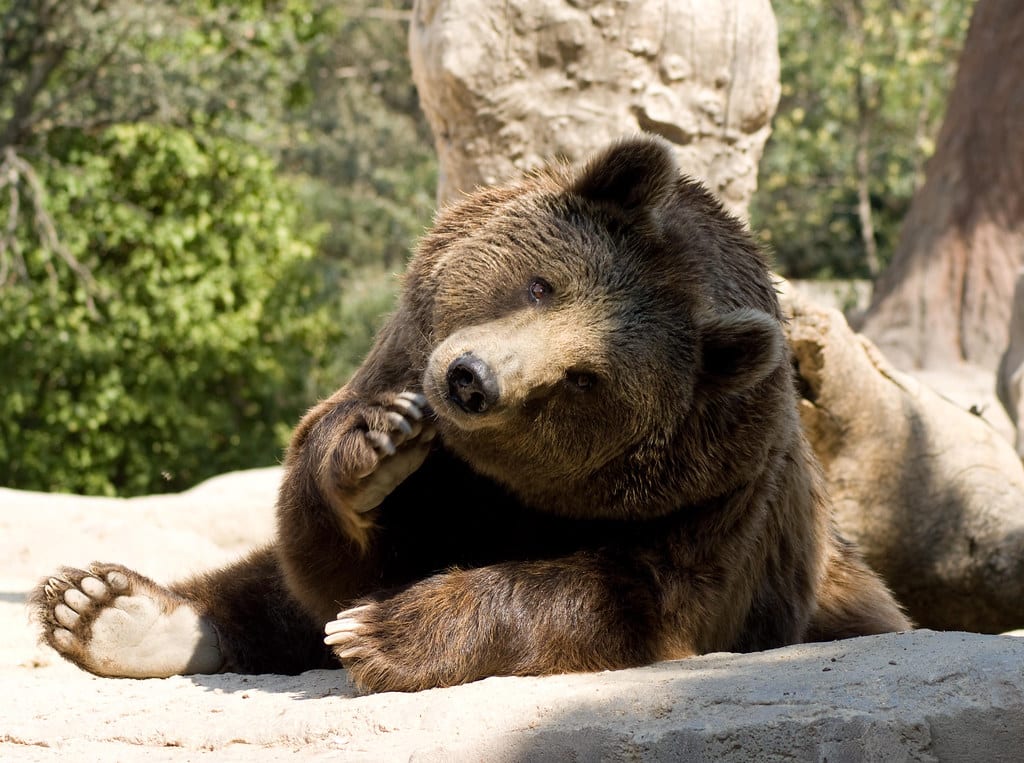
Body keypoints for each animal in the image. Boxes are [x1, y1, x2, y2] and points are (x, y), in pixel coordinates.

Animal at [31, 135, 912, 693]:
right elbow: (329, 552)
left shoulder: (710, 503)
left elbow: (617, 597)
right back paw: (104, 607)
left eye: (584, 377)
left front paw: (381, 630)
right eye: (541, 284)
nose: (470, 380)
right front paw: (376, 444)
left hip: (837, 592)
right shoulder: (414, 392)